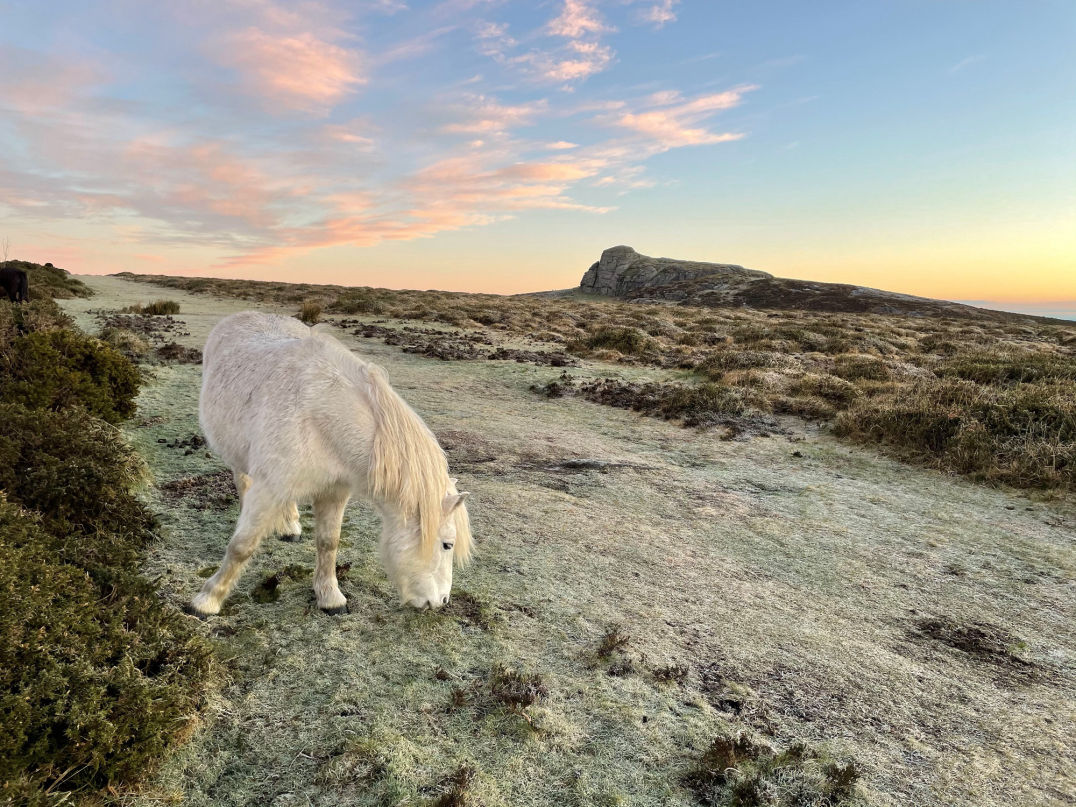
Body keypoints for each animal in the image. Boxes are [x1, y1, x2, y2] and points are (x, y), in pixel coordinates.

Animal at [188, 312, 471, 615]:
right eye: (447, 545)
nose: (440, 602)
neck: (322, 420)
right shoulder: (268, 488)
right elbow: (242, 546)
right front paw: (207, 600)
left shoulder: (334, 491)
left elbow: (328, 542)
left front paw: (330, 597)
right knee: (243, 481)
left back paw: (289, 527)